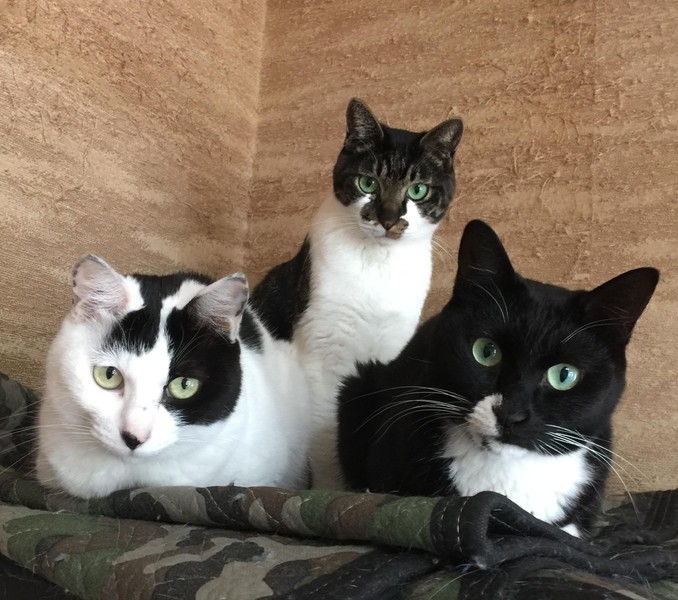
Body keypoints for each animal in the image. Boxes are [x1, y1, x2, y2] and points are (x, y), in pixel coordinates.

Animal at [250, 98, 464, 487]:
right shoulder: (322, 356)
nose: (389, 219)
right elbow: (325, 437)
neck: (377, 265)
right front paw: (333, 490)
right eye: (368, 182)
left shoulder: (392, 349)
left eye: (418, 190)